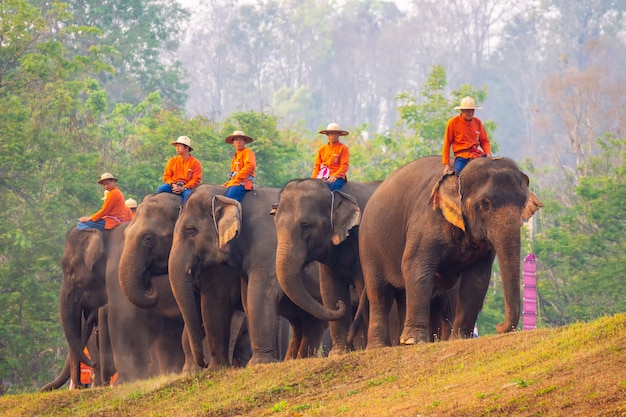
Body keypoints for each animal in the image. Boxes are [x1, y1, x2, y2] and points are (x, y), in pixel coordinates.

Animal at [168, 184, 330, 366]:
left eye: (190, 230)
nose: (203, 362)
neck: (226, 194)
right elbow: (222, 303)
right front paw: (215, 369)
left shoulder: (268, 248)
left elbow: (258, 294)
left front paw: (259, 363)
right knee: (309, 321)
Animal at [272, 179, 380, 354]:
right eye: (276, 225)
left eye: (305, 225)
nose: (339, 306)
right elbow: (330, 289)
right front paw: (339, 353)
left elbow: (364, 285)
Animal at [358, 154, 540, 346]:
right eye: (484, 204)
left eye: (523, 204)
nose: (499, 327)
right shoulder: (427, 220)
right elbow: (416, 268)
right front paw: (415, 341)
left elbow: (477, 278)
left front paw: (461, 337)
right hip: (369, 246)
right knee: (380, 293)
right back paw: (380, 345)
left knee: (403, 294)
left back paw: (402, 342)